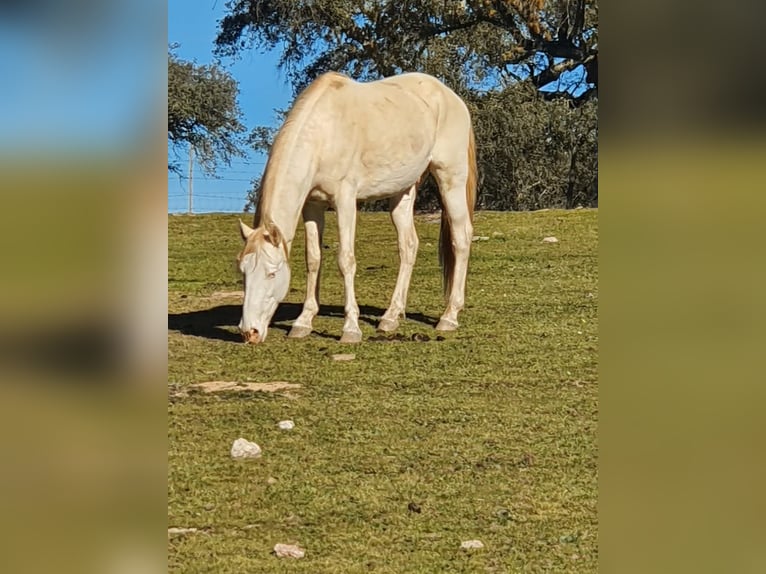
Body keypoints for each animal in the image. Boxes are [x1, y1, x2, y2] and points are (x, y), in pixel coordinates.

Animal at [237, 70, 476, 344]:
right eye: (243, 273)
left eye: (272, 274)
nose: (249, 332)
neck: (324, 132)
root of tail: (450, 97)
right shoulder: (312, 205)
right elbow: (313, 259)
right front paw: (303, 322)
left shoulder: (345, 200)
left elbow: (346, 260)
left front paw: (350, 329)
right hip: (403, 191)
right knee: (408, 246)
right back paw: (390, 317)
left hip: (450, 179)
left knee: (461, 238)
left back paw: (449, 316)